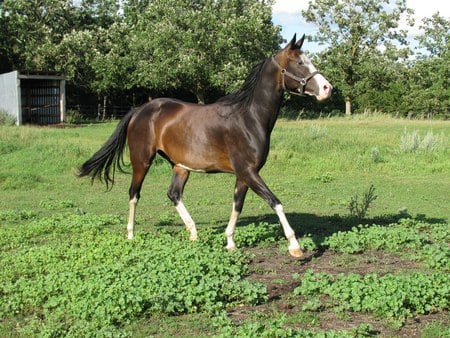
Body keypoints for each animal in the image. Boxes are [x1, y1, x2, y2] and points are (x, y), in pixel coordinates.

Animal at [77, 33, 332, 256]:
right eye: (300, 62)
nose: (327, 89)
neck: (249, 117)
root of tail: (140, 110)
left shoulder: (244, 174)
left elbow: (237, 204)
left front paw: (230, 242)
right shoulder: (249, 172)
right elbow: (275, 202)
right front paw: (295, 247)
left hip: (180, 166)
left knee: (173, 194)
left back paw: (193, 234)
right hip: (142, 161)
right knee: (134, 194)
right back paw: (131, 235)